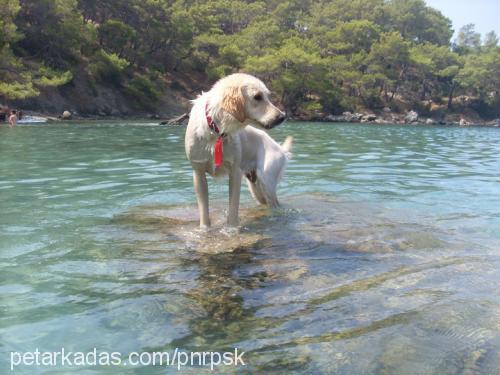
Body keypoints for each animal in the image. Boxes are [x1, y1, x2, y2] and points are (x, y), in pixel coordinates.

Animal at [186, 72, 292, 228]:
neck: (217, 131)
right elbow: (204, 212)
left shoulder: (235, 172)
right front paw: (204, 229)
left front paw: (232, 228)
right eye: (257, 97)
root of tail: (280, 149)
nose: (282, 117)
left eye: (267, 96)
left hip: (266, 181)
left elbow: (233, 209)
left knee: (276, 204)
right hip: (256, 187)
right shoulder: (198, 173)